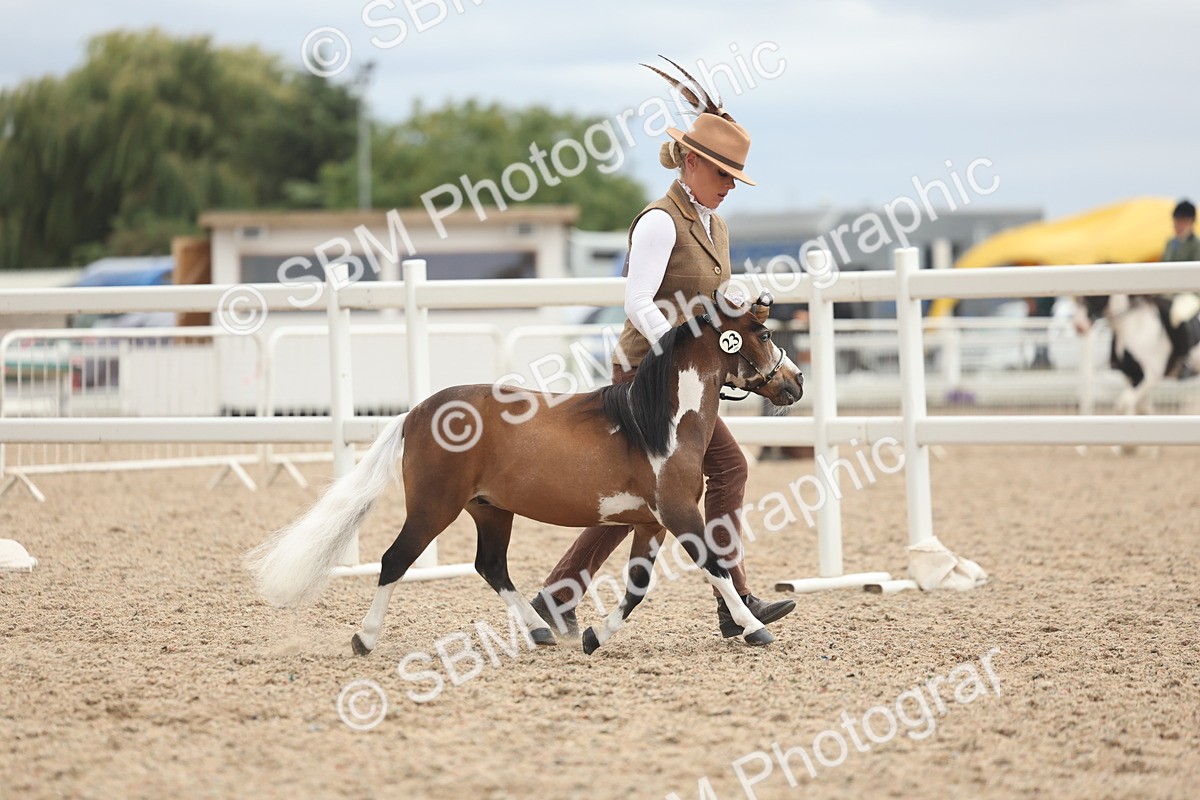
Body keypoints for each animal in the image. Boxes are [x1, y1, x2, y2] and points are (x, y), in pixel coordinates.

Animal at [248, 295, 805, 656]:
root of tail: (416, 413)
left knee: (490, 566)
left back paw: (539, 631)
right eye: (764, 333)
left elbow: (637, 588)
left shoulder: (651, 523)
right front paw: (755, 628)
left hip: (490, 510)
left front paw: (594, 637)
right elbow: (714, 566)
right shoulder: (679, 514)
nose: (796, 382)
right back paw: (364, 639)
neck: (658, 423)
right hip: (433, 507)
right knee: (395, 561)